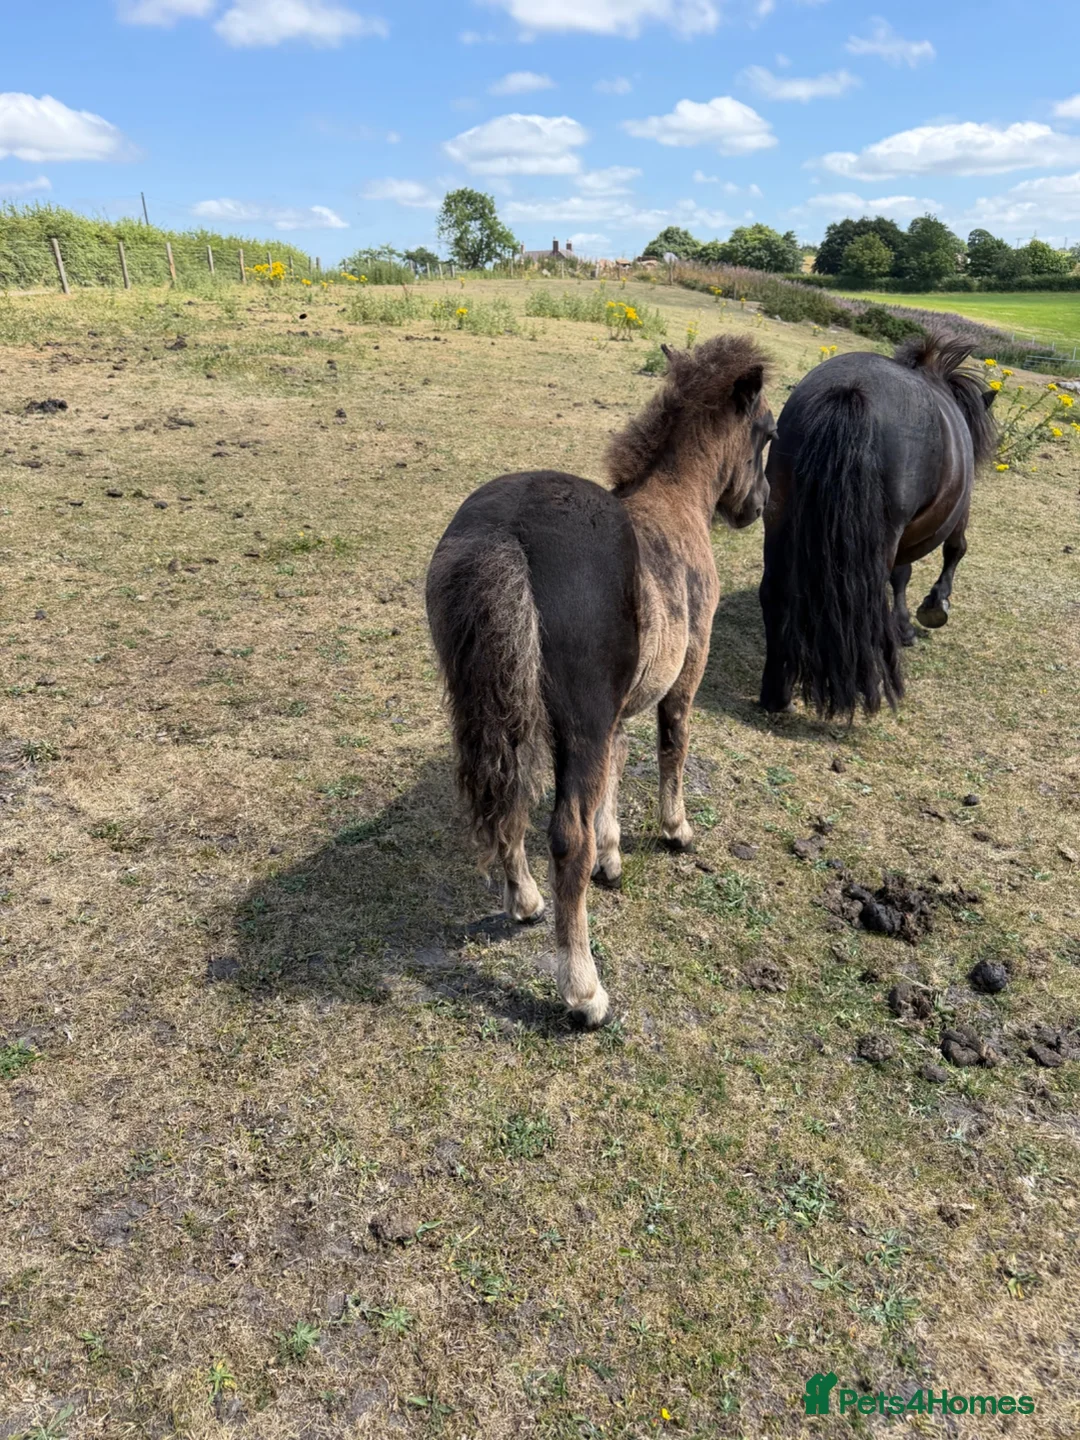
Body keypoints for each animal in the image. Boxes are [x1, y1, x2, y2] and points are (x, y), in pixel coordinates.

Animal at [426, 334, 775, 1028]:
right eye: (769, 431)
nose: (759, 504)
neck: (676, 503)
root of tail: (505, 534)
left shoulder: (614, 710)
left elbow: (614, 769)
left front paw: (614, 857)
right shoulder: (682, 675)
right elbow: (672, 746)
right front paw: (675, 831)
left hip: (502, 712)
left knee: (507, 794)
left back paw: (526, 901)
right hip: (573, 723)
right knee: (565, 836)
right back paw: (584, 990)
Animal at [758, 334, 997, 720]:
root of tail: (851, 391)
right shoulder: (955, 516)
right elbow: (951, 552)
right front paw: (930, 609)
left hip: (779, 514)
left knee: (776, 593)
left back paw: (776, 695)